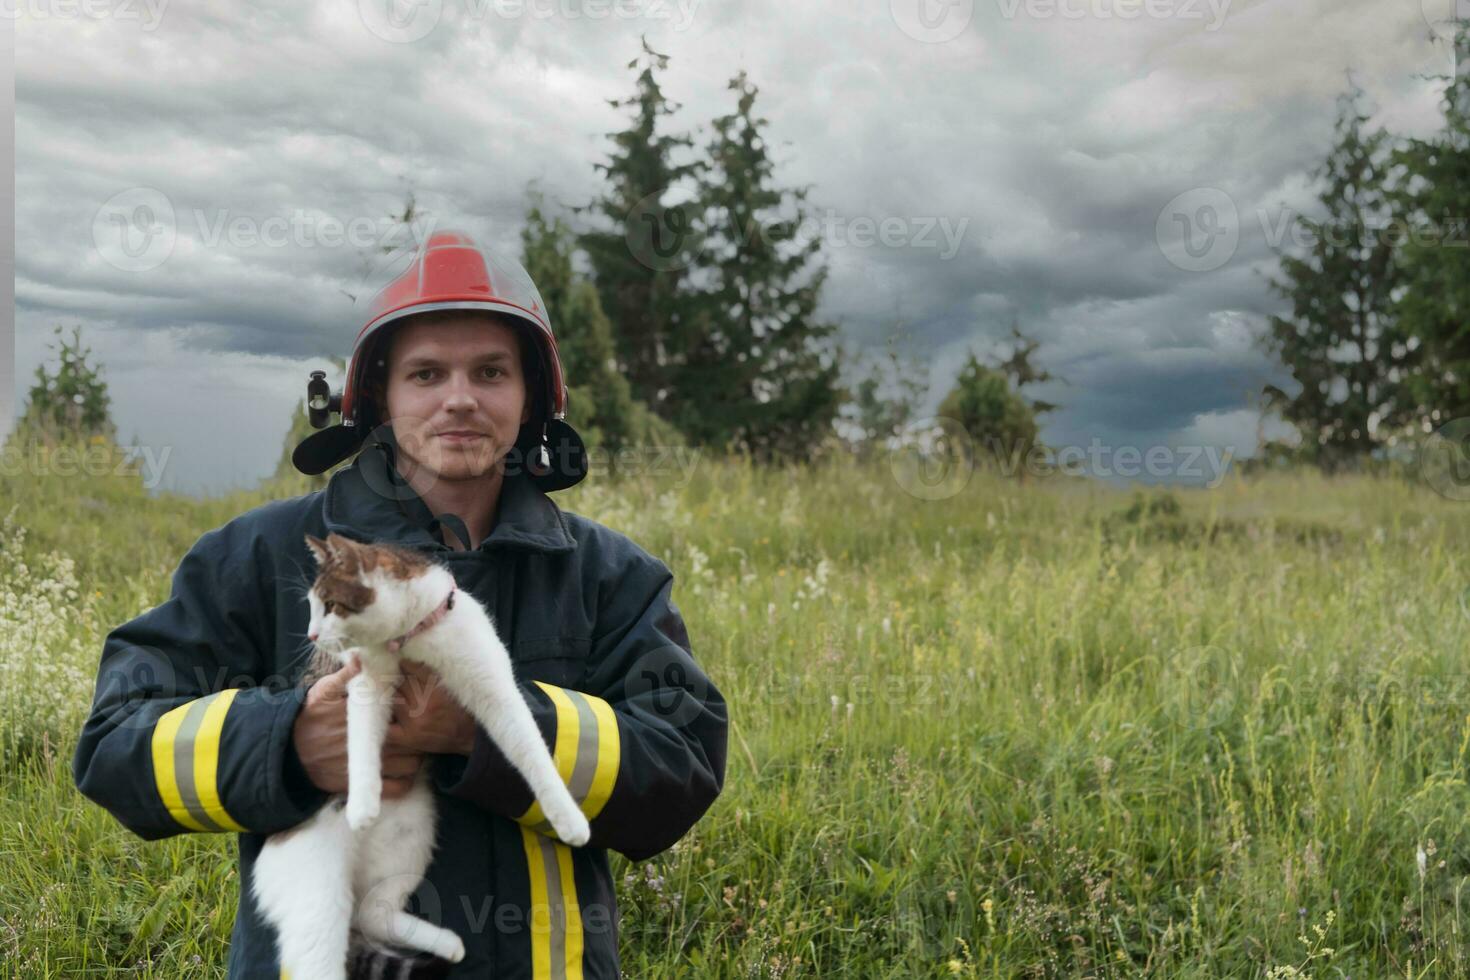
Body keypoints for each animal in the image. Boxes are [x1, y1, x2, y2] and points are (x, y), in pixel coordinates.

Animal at [254, 537, 590, 980]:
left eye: (329, 605)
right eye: (311, 605)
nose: (311, 634)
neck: (408, 638)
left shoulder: (491, 684)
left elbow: (530, 749)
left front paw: (568, 819)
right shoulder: (365, 683)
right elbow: (360, 741)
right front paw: (363, 802)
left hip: (409, 841)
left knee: (374, 913)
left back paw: (448, 944)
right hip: (318, 896)